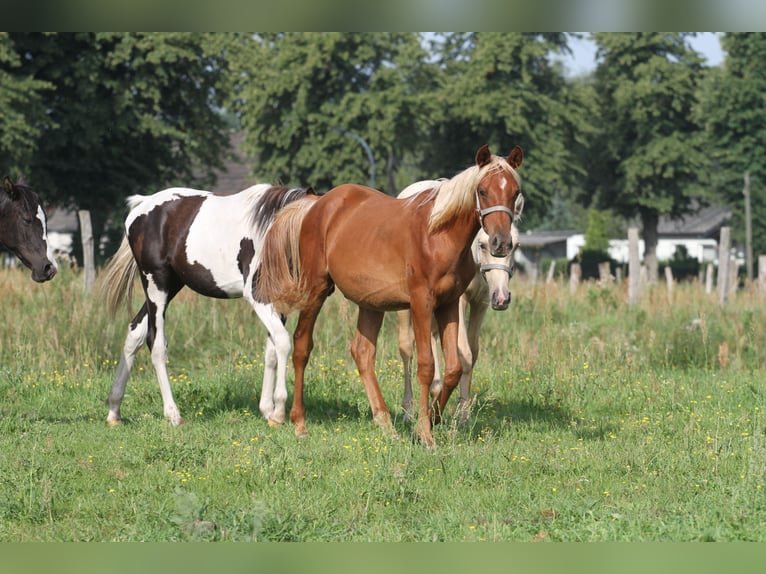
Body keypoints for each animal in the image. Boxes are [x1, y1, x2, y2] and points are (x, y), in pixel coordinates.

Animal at [100, 183, 316, 427]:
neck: (270, 229)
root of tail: (142, 206)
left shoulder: (277, 302)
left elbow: (271, 349)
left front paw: (268, 409)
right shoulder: (257, 297)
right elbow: (283, 342)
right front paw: (278, 411)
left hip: (172, 286)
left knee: (135, 332)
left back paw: (114, 410)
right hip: (156, 285)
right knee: (155, 343)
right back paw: (172, 414)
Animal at [395, 181, 521, 425]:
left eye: (516, 245)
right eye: (482, 245)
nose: (502, 298)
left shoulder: (481, 302)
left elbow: (473, 351)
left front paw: (463, 410)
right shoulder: (459, 301)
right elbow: (464, 353)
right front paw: (462, 415)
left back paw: (435, 391)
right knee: (407, 348)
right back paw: (408, 410)